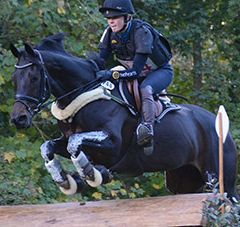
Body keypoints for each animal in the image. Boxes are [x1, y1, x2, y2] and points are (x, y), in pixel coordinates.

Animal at [9, 33, 238, 199]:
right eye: (14, 78)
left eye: (34, 77)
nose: (18, 119)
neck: (83, 93)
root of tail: (219, 123)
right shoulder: (67, 141)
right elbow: (48, 147)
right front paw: (67, 181)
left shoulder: (113, 145)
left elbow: (75, 143)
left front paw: (92, 174)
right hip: (183, 180)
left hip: (219, 178)